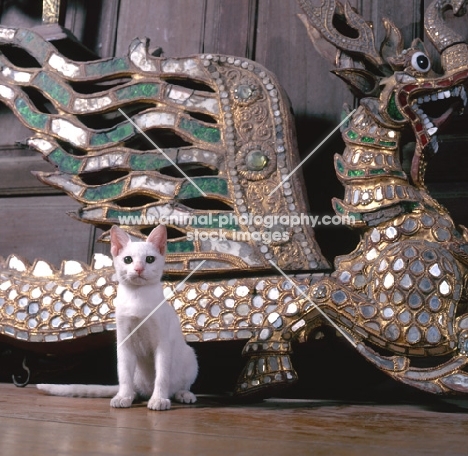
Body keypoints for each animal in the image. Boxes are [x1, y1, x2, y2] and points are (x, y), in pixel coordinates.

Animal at [37, 224, 197, 410]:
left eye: (150, 259)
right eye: (128, 260)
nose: (139, 268)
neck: (137, 297)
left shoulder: (162, 345)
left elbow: (162, 377)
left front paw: (158, 400)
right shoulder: (124, 343)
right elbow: (124, 375)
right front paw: (123, 397)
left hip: (190, 356)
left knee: (180, 386)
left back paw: (182, 395)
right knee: (134, 387)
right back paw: (131, 395)